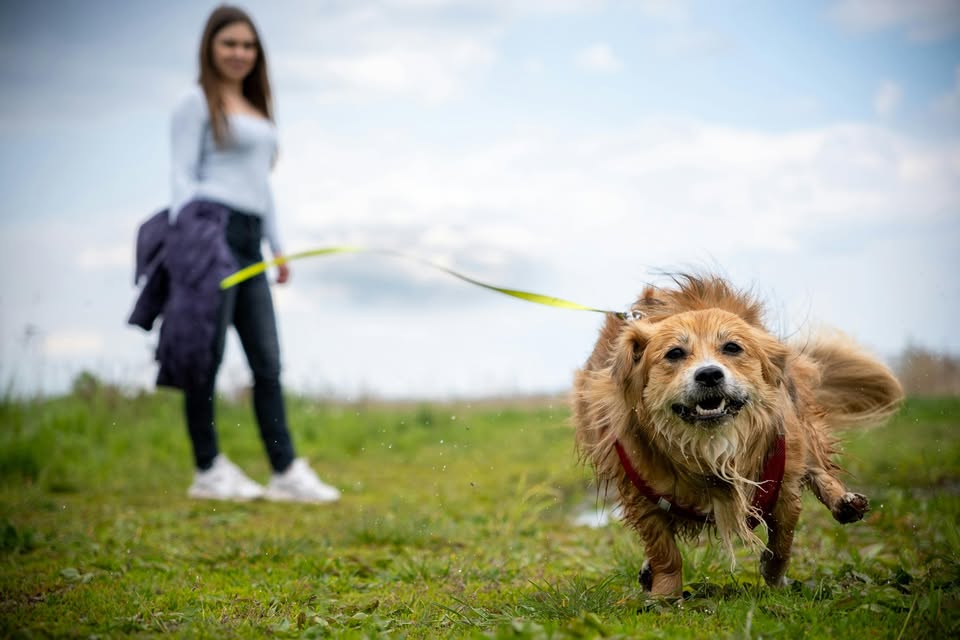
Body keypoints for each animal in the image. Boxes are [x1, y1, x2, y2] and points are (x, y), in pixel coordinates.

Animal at [572, 274, 904, 596]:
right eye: (674, 353)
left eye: (732, 347)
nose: (709, 374)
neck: (711, 446)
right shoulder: (640, 496)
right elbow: (665, 553)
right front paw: (665, 595)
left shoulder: (784, 488)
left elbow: (781, 543)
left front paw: (774, 578)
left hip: (801, 430)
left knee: (817, 468)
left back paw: (843, 501)